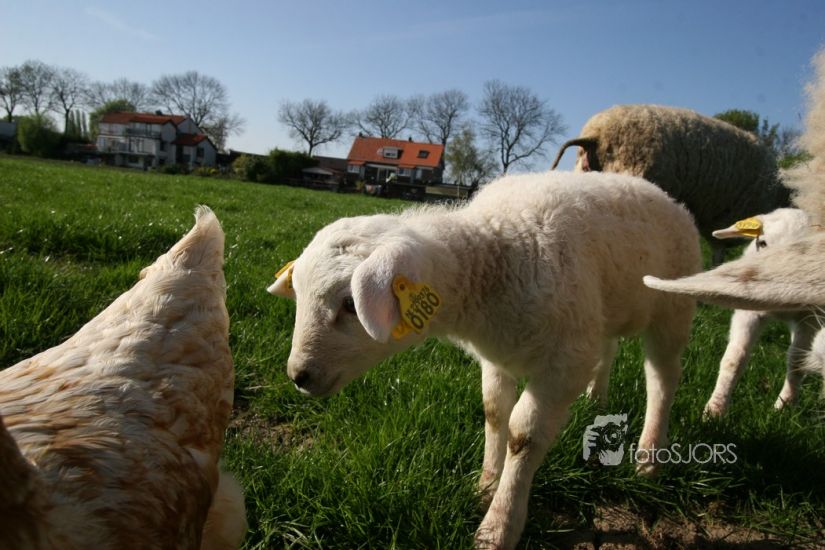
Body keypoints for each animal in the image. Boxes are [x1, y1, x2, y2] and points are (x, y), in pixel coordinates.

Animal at [267, 170, 701, 549]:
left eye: (349, 304)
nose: (299, 375)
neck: (495, 253)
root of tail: (662, 193)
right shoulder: (500, 355)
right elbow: (494, 412)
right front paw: (486, 487)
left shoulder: (562, 364)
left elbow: (523, 436)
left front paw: (499, 526)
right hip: (603, 311)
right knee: (608, 349)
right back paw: (598, 400)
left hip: (671, 309)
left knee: (663, 376)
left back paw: (649, 458)